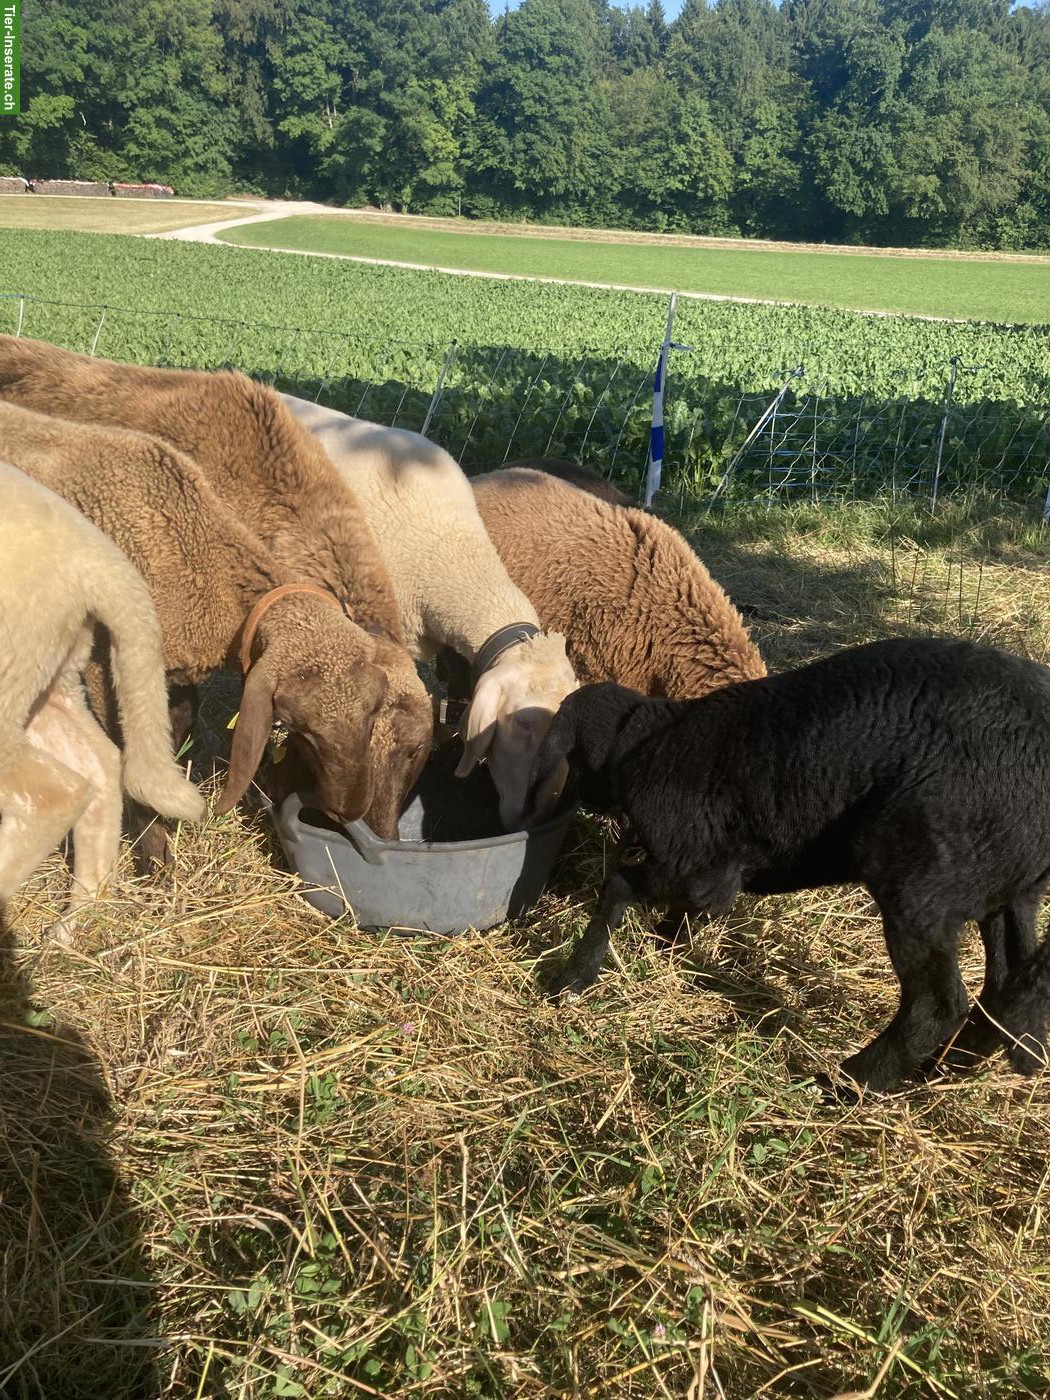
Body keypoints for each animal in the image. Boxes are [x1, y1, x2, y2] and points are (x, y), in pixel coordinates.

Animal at [527, 637, 1050, 1094]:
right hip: (1006, 888)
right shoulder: (711, 879)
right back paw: (947, 1068)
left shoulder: (697, 868)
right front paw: (666, 942)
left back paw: (845, 1085)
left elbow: (618, 887)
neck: (649, 740)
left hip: (923, 879)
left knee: (935, 1005)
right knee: (1008, 985)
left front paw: (574, 977)